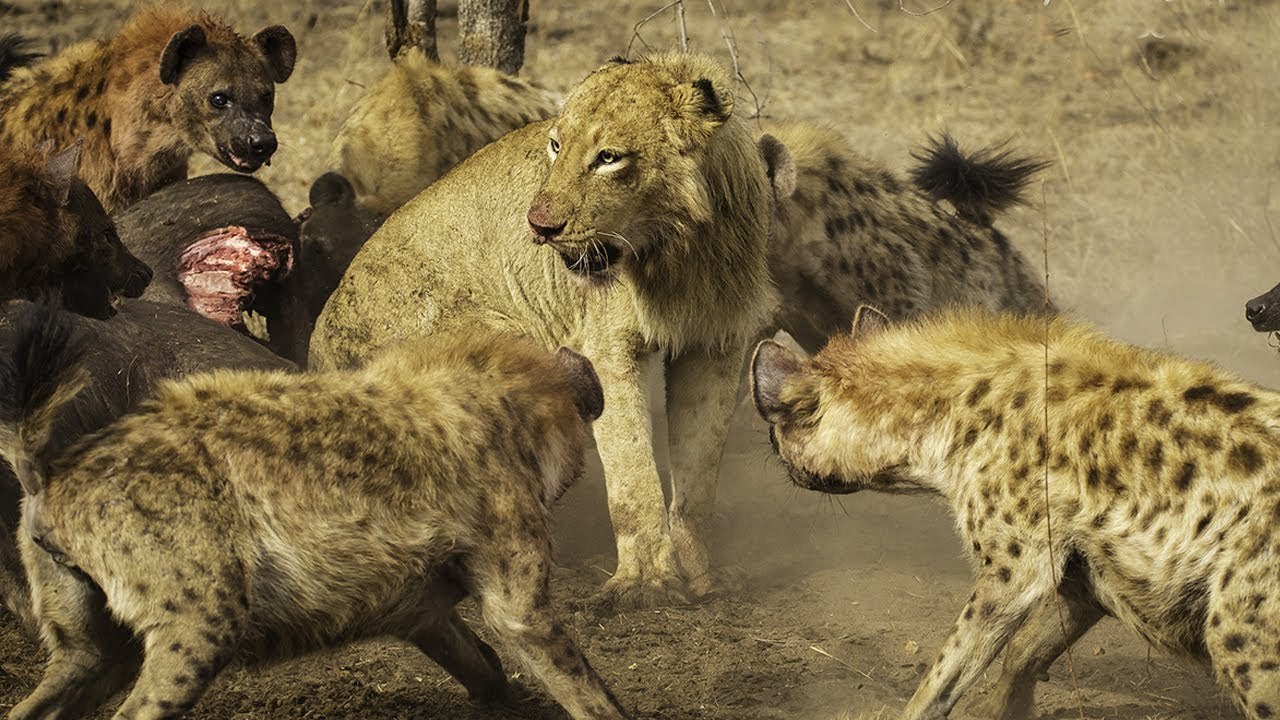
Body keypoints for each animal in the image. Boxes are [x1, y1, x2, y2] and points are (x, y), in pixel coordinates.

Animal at [311, 52, 780, 609]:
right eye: (556, 145)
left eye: (608, 158)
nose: (539, 226)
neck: (682, 252)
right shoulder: (607, 346)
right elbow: (632, 474)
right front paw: (646, 584)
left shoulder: (717, 344)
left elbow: (699, 472)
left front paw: (703, 575)